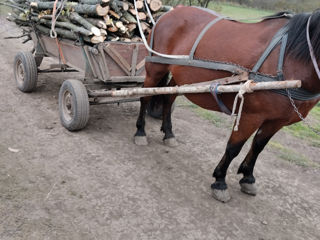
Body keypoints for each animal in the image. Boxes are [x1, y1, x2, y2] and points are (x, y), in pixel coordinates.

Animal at [134, 7, 318, 202]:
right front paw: (220, 180)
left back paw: (169, 133)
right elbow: (234, 147)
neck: (291, 57)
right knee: (145, 97)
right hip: (156, 68)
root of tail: (170, 13)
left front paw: (248, 177)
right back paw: (140, 131)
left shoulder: (277, 121)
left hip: (180, 76)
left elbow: (258, 146)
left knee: (168, 98)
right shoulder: (251, 116)